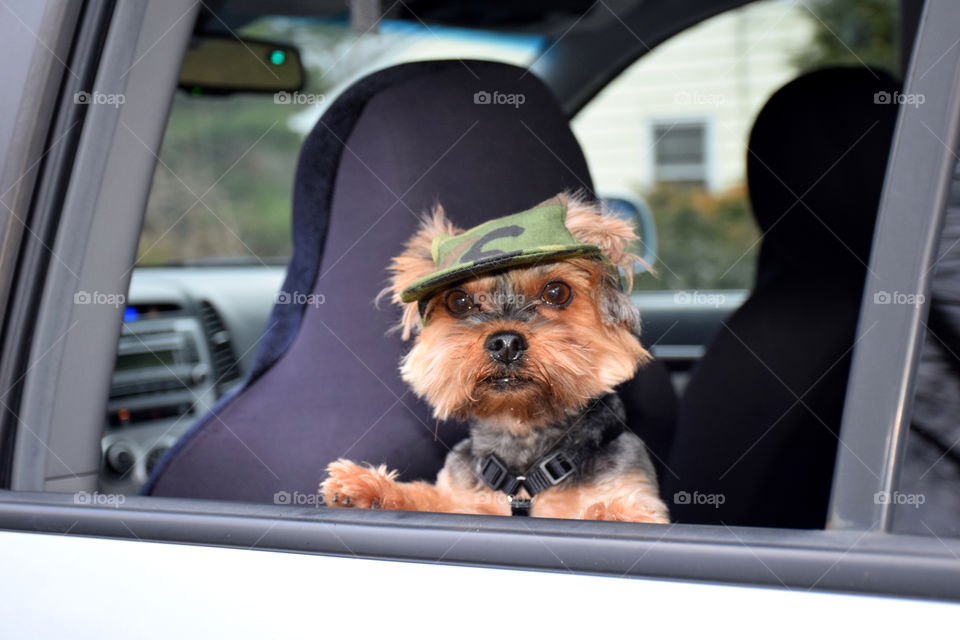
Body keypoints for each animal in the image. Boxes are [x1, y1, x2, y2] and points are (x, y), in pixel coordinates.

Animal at [320, 192, 668, 524]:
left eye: (557, 292)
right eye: (459, 301)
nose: (505, 344)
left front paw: (615, 513)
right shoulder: (462, 499)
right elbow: (430, 498)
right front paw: (369, 487)